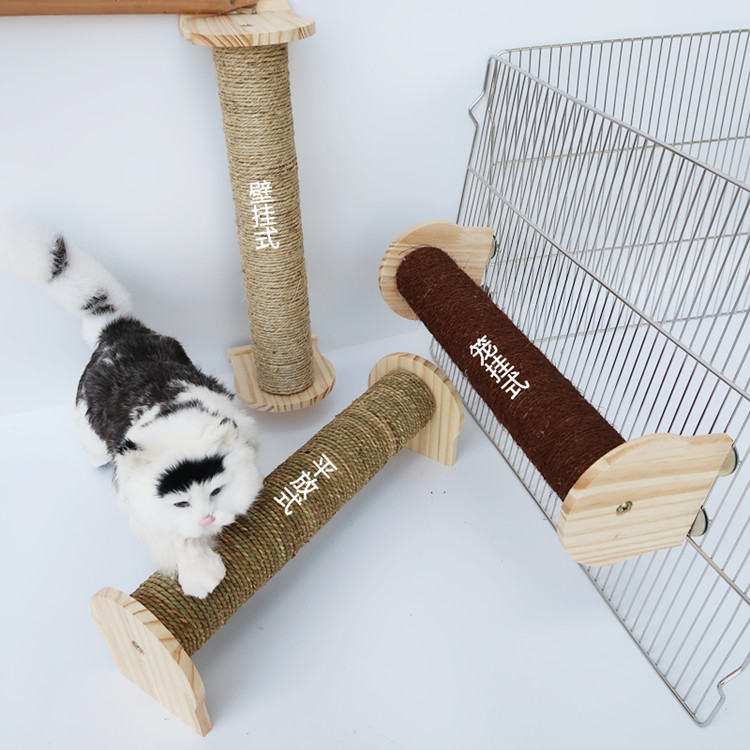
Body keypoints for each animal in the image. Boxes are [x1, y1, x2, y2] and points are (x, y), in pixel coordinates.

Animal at [0, 215, 263, 598]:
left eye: (216, 491)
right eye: (180, 503)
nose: (207, 517)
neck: (175, 420)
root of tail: (116, 329)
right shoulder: (138, 504)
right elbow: (177, 539)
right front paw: (202, 578)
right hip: (91, 434)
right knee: (92, 450)